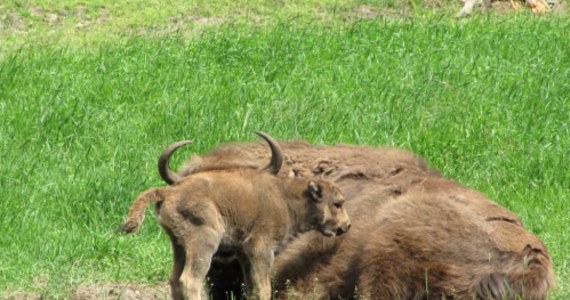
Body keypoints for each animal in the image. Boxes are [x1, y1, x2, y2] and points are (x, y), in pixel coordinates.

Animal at [118, 132, 348, 300]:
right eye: (337, 203)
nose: (346, 226)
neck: (286, 196)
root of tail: (169, 191)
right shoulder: (261, 251)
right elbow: (263, 288)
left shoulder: (244, 254)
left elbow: (252, 287)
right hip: (204, 243)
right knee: (189, 280)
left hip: (178, 245)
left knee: (175, 280)